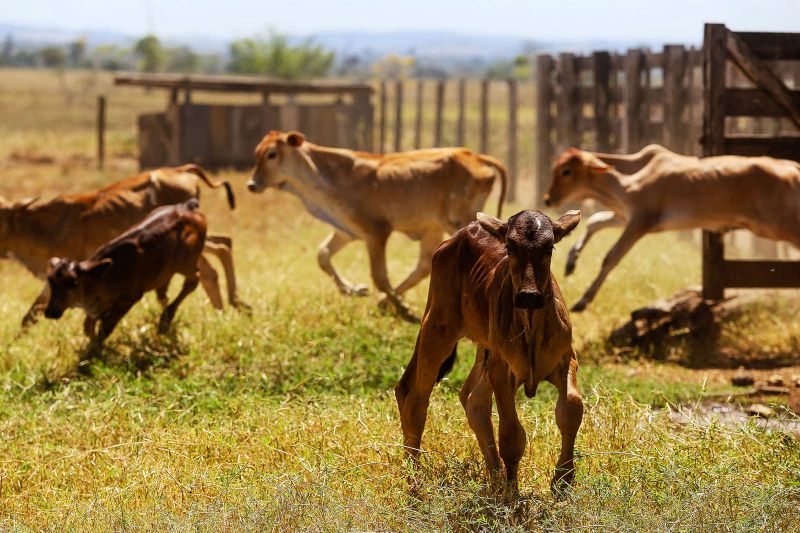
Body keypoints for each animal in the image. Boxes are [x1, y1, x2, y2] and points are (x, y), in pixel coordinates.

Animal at [247, 130, 506, 320]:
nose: (252, 184)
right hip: (434, 227)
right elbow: (323, 255)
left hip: (459, 222)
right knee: (424, 265)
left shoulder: (377, 232)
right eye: (257, 153)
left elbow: (379, 276)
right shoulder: (346, 231)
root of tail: (475, 156)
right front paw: (354, 290)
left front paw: (402, 308)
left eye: (272, 154)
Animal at [396, 208, 584, 494]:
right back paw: (415, 481)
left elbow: (572, 408)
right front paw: (512, 492)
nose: (529, 296)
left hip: (483, 348)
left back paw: (494, 477)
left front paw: (562, 480)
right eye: (510, 247)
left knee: (472, 398)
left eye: (549, 247)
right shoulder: (501, 370)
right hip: (437, 327)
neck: (530, 325)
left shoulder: (566, 359)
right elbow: (511, 435)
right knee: (414, 396)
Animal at [548, 145, 800, 312]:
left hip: (780, 226)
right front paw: (571, 262)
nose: (548, 199)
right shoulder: (625, 216)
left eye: (567, 171)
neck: (627, 180)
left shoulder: (640, 221)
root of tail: (793, 168)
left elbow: (611, 257)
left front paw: (583, 300)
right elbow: (595, 221)